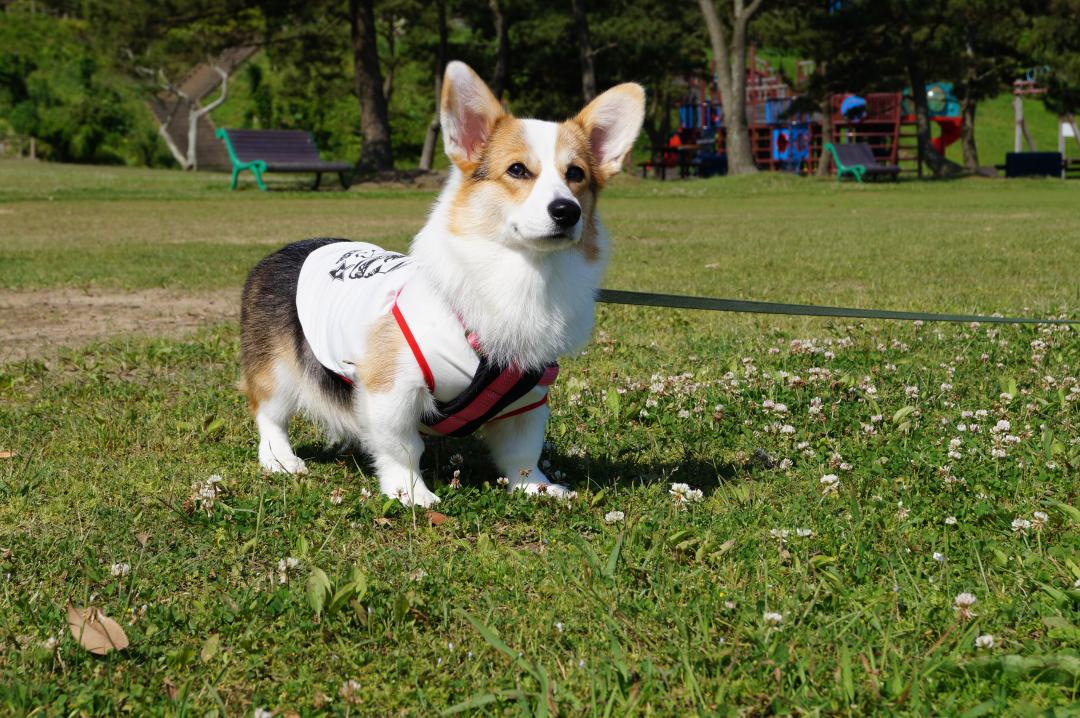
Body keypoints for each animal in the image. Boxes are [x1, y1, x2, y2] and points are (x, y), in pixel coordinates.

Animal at [240, 62, 643, 509]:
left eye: (576, 175)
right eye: (517, 170)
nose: (566, 211)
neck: (525, 275)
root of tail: (285, 249)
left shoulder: (528, 397)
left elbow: (523, 452)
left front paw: (536, 486)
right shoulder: (390, 390)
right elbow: (402, 448)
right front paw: (411, 493)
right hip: (277, 370)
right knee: (269, 413)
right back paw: (280, 459)